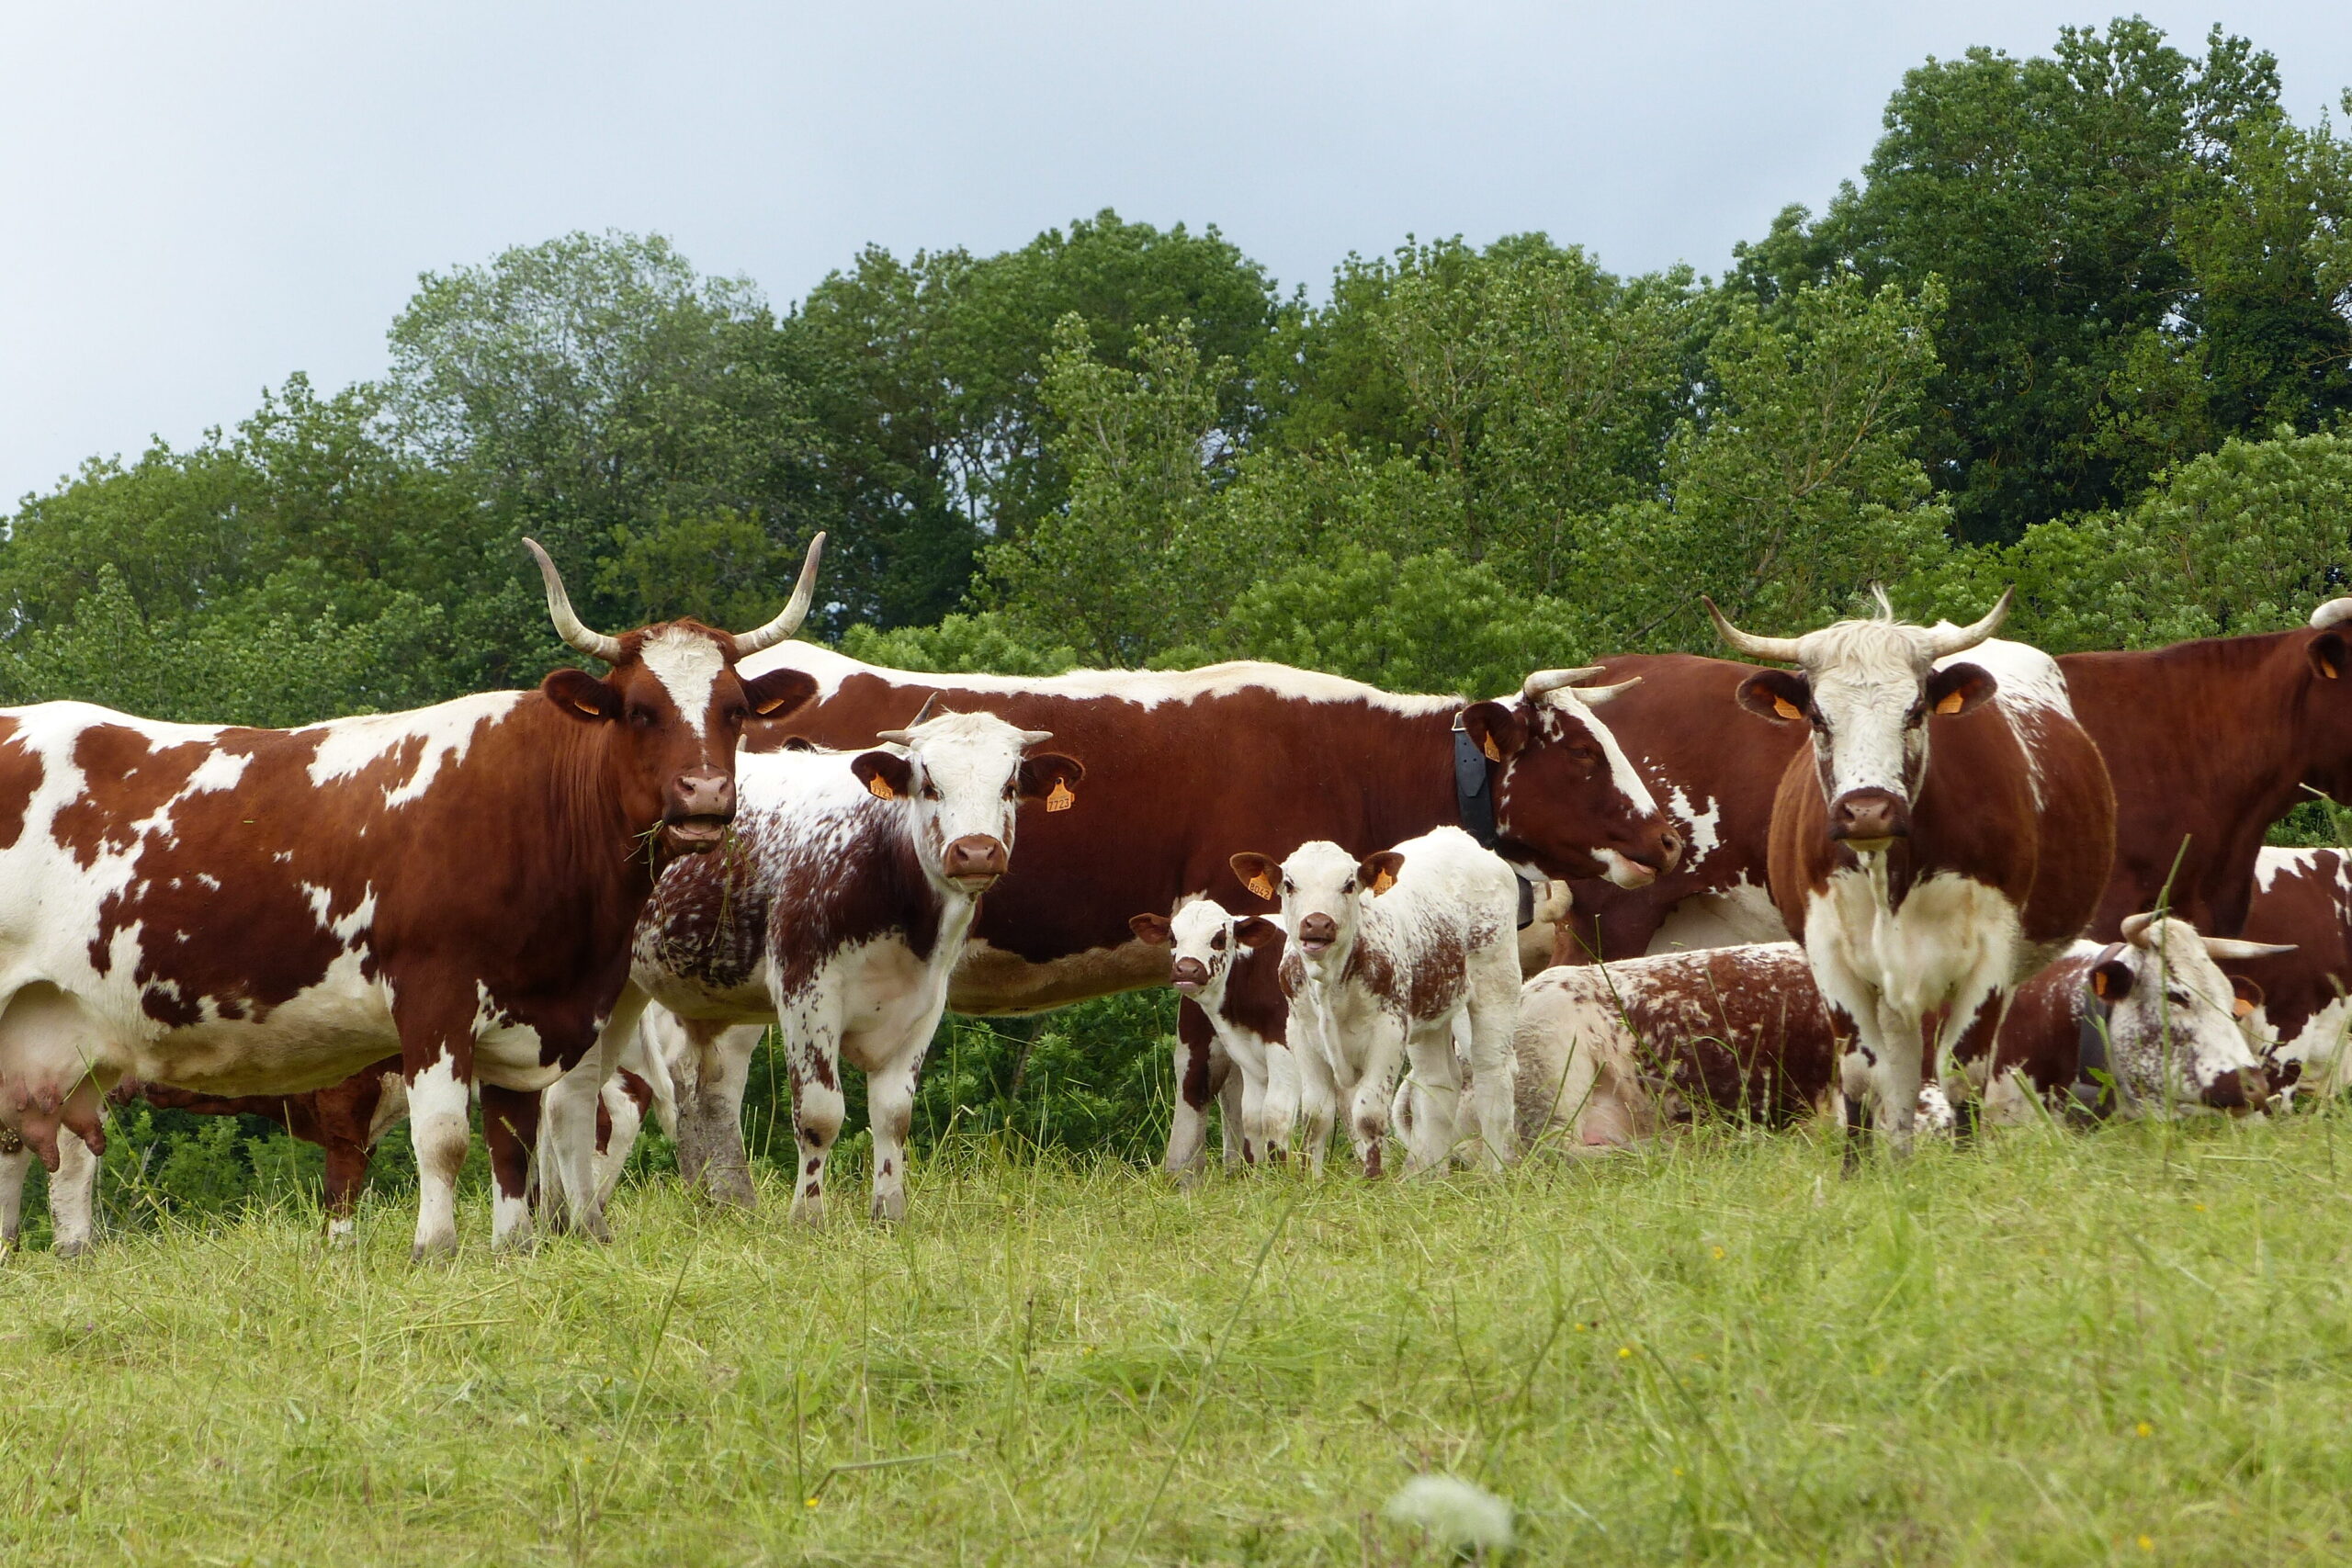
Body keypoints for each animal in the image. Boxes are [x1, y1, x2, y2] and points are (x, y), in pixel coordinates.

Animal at [0, 533, 823, 1259]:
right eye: (640, 709)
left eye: (734, 708)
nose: (705, 794)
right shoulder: (434, 996)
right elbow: (445, 1137)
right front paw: (435, 1246)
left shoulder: (528, 1017)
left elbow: (512, 1139)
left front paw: (514, 1246)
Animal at [582, 709, 1077, 1222]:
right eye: (929, 786)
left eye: (1009, 787)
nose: (976, 850)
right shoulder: (807, 993)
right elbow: (820, 1114)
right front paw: (808, 1217)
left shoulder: (923, 1004)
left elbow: (893, 1116)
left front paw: (889, 1213)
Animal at [1128, 893, 1298, 1175]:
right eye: (1173, 938)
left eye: (1218, 939)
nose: (1187, 970)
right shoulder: (1247, 1055)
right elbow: (1251, 1117)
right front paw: (1258, 1178)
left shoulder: (1285, 1049)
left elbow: (1276, 1115)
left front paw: (1282, 1177)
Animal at [1232, 822, 1523, 1175]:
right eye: (1289, 885)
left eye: (1349, 884)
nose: (1317, 923)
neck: (1330, 984)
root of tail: (1455, 836)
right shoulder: (1300, 1033)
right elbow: (1317, 1116)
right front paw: (1313, 1178)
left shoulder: (1388, 1032)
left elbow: (1368, 1116)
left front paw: (1372, 1177)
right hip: (1430, 1013)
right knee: (1439, 1084)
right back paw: (1431, 1175)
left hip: (1497, 985)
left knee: (1492, 1074)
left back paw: (1494, 1170)